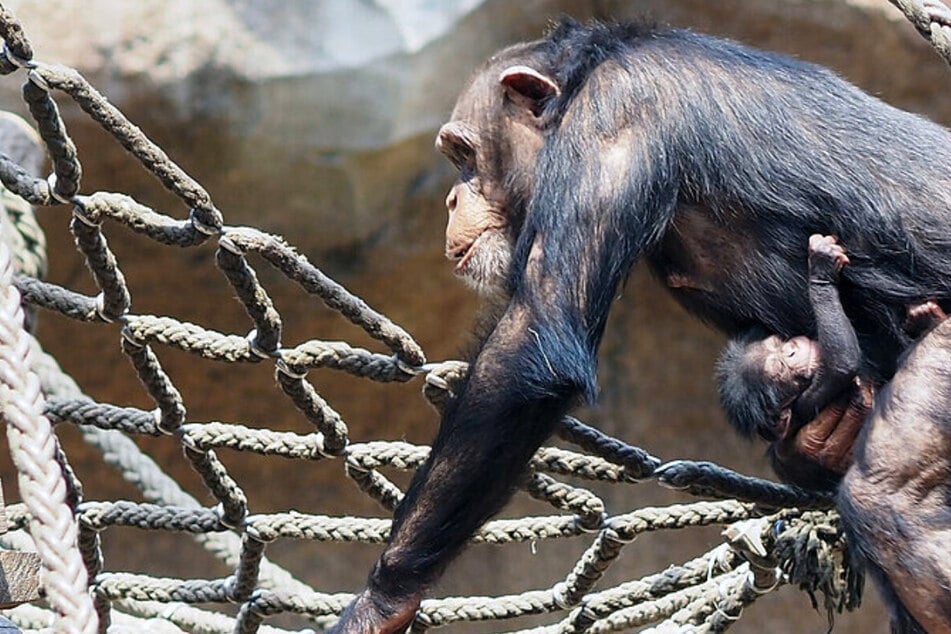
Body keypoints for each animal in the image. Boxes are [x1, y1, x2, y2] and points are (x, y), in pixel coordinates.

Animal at [332, 17, 951, 628]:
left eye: (464, 154)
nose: (451, 200)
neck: (580, 86)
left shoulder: (615, 117)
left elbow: (534, 343)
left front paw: (381, 599)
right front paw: (815, 440)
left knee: (887, 503)